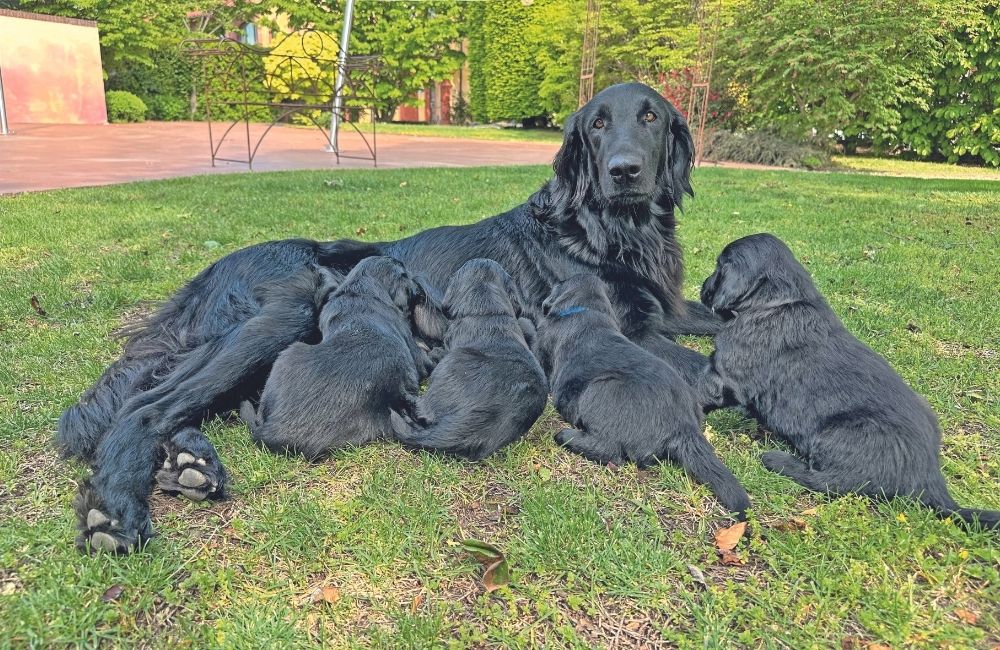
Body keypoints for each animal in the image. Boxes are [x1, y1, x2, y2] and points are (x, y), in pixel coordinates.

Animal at [241, 256, 434, 458]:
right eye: (406, 274)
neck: (361, 290)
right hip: (288, 353)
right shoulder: (418, 356)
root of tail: (271, 430)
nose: (420, 290)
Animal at [700, 233, 1000, 528]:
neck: (778, 302)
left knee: (829, 482)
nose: (702, 286)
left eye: (718, 266)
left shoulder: (726, 377)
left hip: (840, 434)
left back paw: (778, 460)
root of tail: (931, 477)